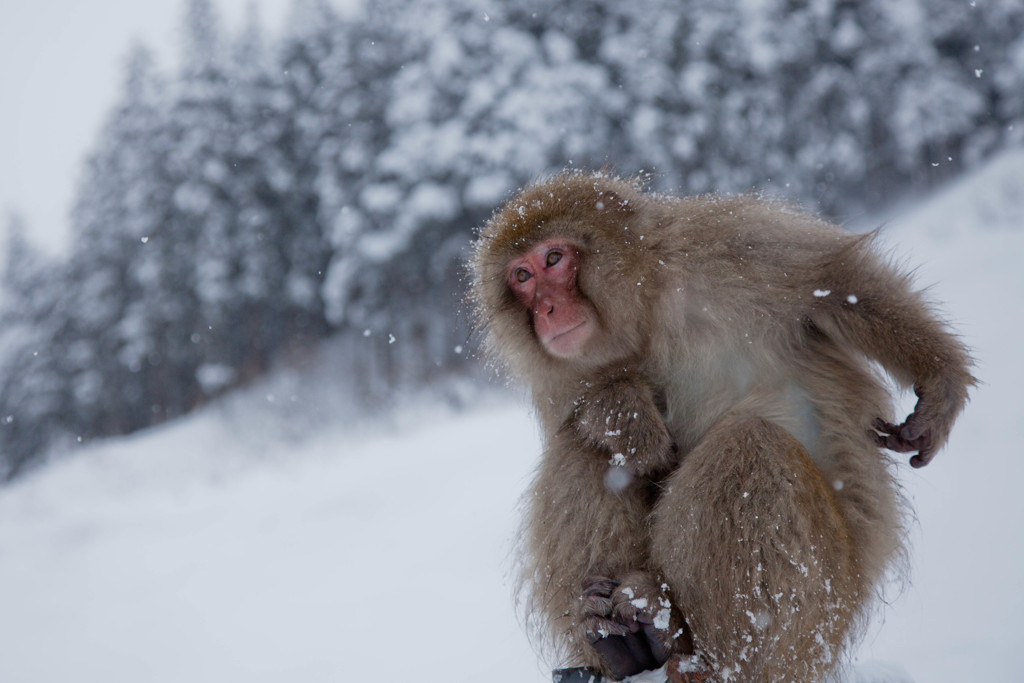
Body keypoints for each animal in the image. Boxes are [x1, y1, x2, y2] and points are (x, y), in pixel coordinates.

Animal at [468, 172, 970, 683]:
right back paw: (629, 645)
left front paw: (940, 384)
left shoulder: (725, 241)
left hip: (822, 612)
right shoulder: (559, 374)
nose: (547, 310)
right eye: (522, 277)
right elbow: (580, 415)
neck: (646, 310)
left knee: (751, 446)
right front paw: (624, 412)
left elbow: (836, 282)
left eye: (553, 258)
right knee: (584, 447)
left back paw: (705, 656)